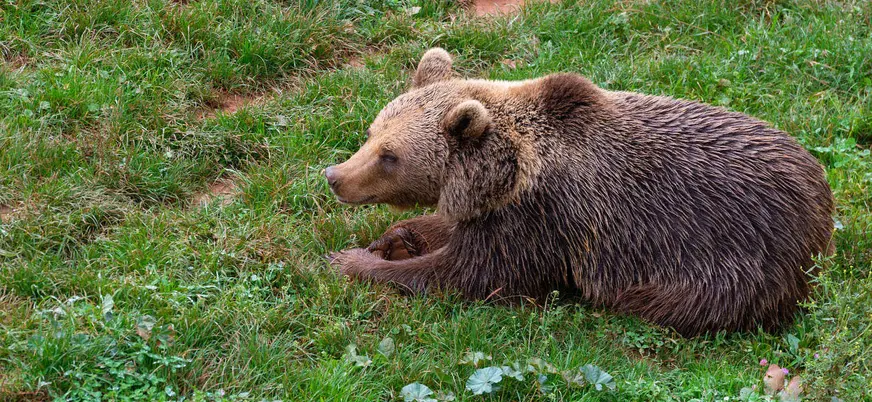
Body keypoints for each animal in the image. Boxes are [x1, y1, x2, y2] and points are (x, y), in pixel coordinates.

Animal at [326, 48, 835, 336]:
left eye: (389, 155)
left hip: (735, 255)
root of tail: (821, 195)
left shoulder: (547, 216)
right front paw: (396, 238)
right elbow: (454, 232)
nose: (335, 175)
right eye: (371, 133)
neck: (509, 172)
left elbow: (471, 275)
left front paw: (354, 261)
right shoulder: (503, 211)